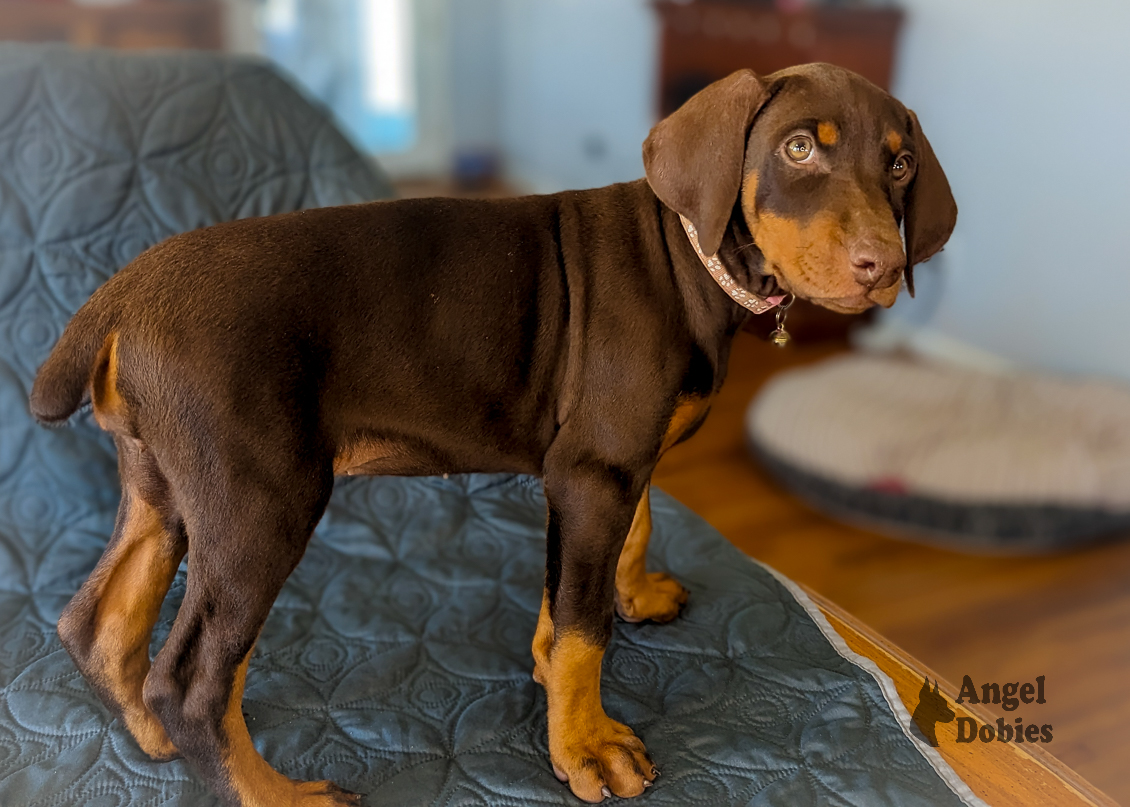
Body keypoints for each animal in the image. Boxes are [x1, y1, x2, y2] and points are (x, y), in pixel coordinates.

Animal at [28, 64, 953, 804]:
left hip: (166, 485)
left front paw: (609, 613)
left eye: (900, 163)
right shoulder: (594, 468)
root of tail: (122, 296)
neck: (691, 253)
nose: (880, 267)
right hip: (262, 502)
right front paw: (585, 745)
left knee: (98, 623)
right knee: (195, 684)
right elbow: (586, 627)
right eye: (799, 150)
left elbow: (603, 560)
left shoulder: (600, 468)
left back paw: (148, 734)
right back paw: (271, 792)